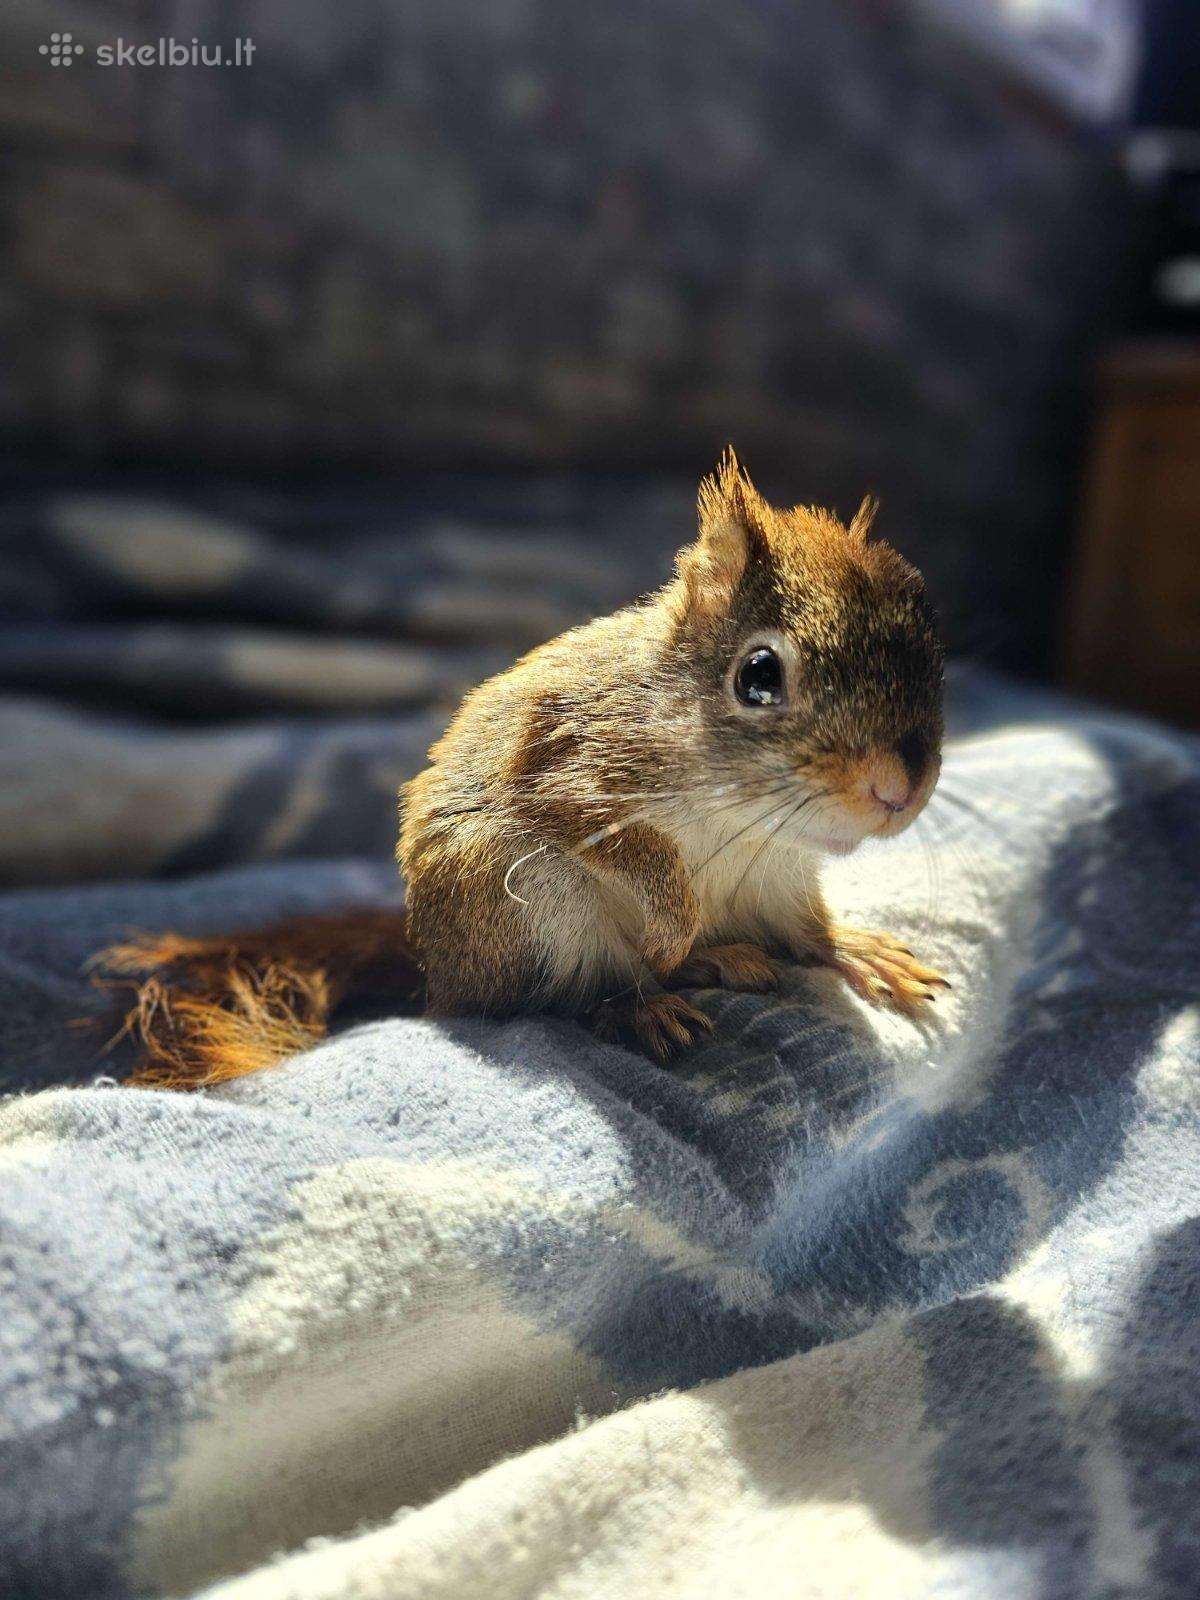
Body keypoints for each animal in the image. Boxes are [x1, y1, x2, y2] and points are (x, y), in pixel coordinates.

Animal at [102, 450, 948, 1088]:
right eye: (760, 676)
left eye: (931, 657)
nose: (898, 789)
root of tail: (439, 977)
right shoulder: (568, 771)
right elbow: (624, 850)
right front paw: (671, 929)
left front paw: (842, 945)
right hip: (524, 907)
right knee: (557, 1001)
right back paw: (650, 993)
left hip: (776, 885)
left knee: (800, 931)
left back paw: (806, 950)